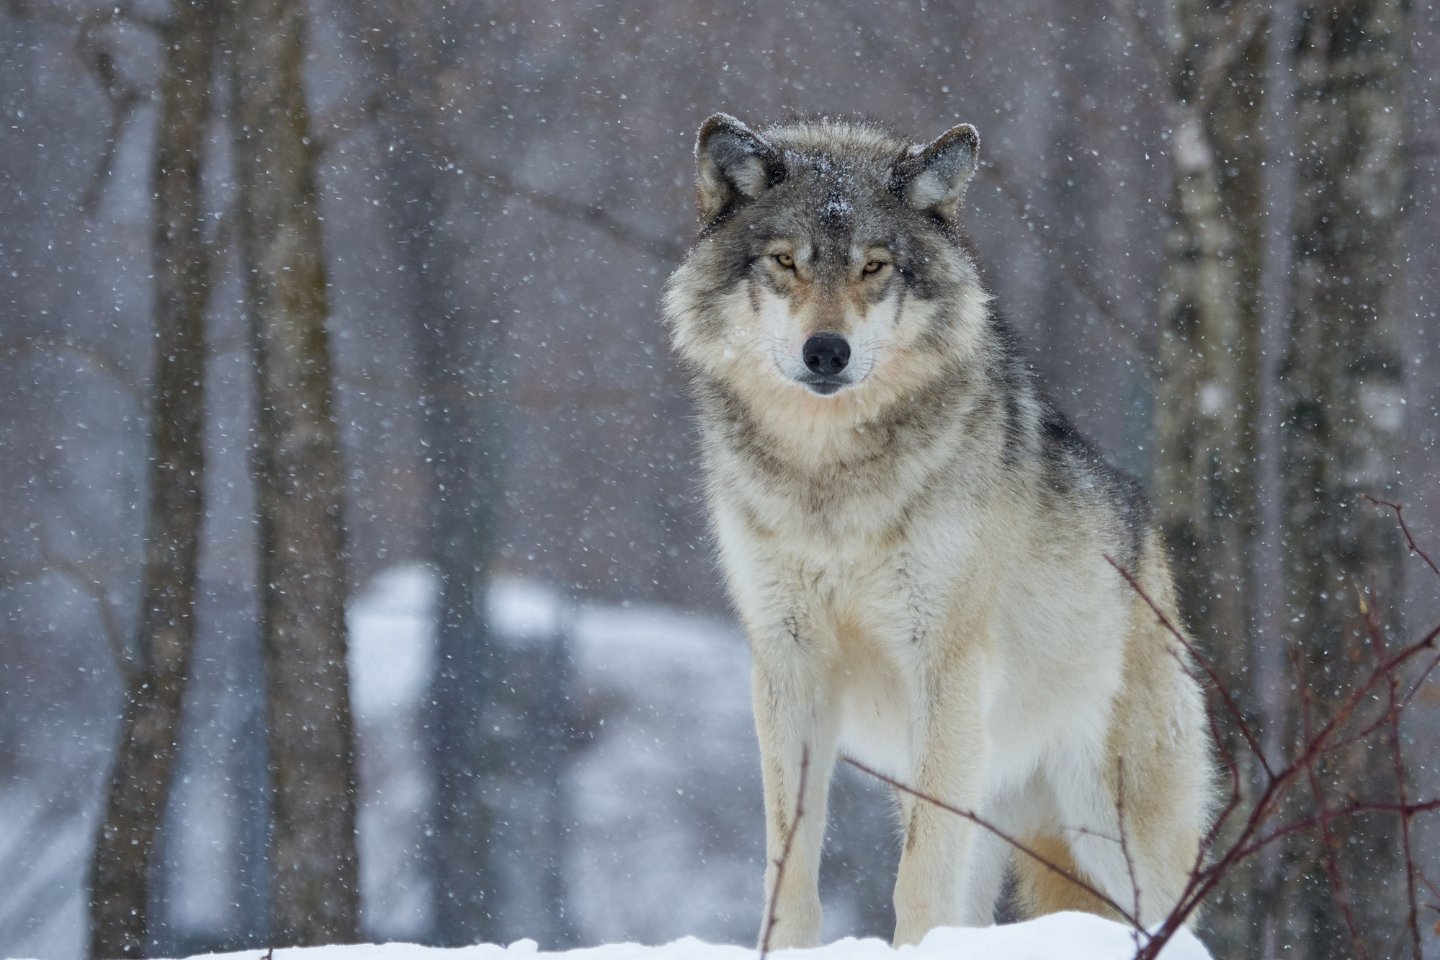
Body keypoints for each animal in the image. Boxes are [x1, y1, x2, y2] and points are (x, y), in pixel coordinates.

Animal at [662, 110, 1215, 944]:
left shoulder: (944, 662)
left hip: (1111, 833)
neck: (830, 480)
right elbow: (789, 863)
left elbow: (918, 874)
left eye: (875, 267)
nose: (827, 351)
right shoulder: (787, 664)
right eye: (786, 262)